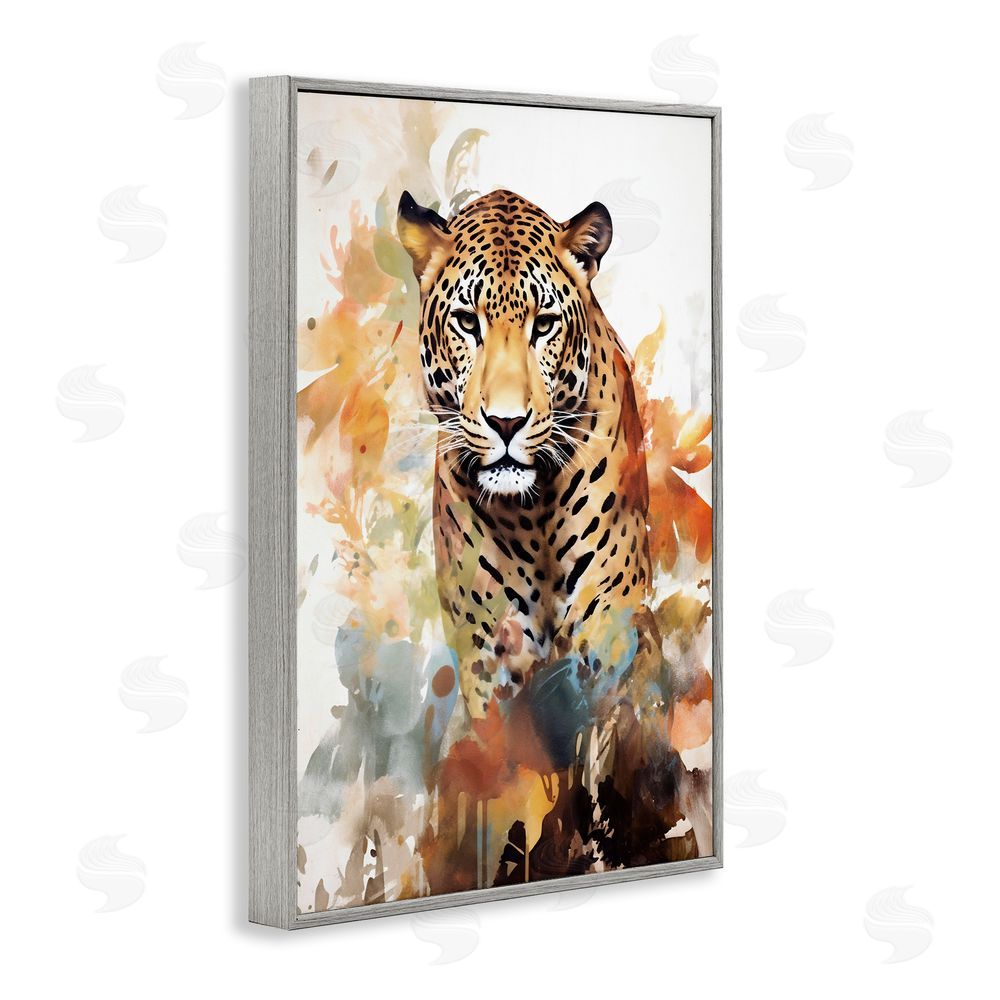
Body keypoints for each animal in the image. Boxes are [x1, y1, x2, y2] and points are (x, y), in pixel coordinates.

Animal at [398, 188, 653, 721]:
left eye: (545, 325)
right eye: (467, 322)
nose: (507, 422)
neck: (532, 515)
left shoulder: (609, 629)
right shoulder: (487, 654)